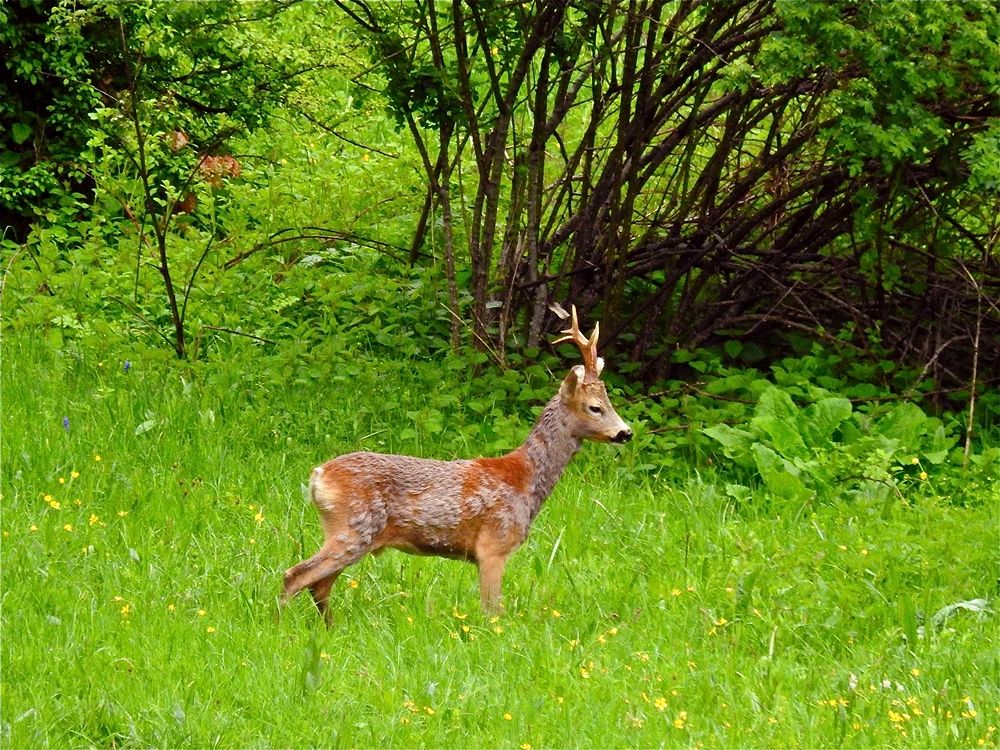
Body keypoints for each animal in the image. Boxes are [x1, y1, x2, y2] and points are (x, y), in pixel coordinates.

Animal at [278, 306, 628, 624]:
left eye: (609, 403)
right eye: (595, 407)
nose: (626, 432)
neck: (525, 479)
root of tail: (318, 477)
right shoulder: (494, 544)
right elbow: (492, 612)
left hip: (350, 533)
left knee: (319, 585)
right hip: (353, 527)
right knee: (295, 575)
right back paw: (281, 626)